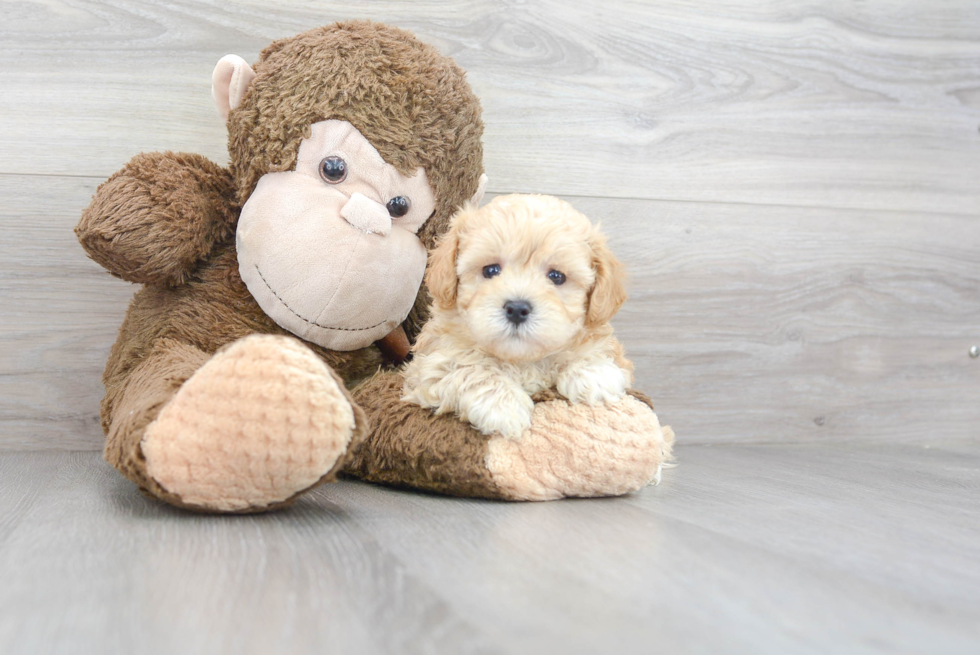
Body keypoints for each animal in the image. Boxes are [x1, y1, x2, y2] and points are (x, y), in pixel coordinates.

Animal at [400, 195, 636, 440]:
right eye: (490, 270)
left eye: (556, 276)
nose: (516, 309)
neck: (522, 360)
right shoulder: (427, 366)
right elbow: (467, 369)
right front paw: (505, 407)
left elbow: (594, 352)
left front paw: (593, 374)